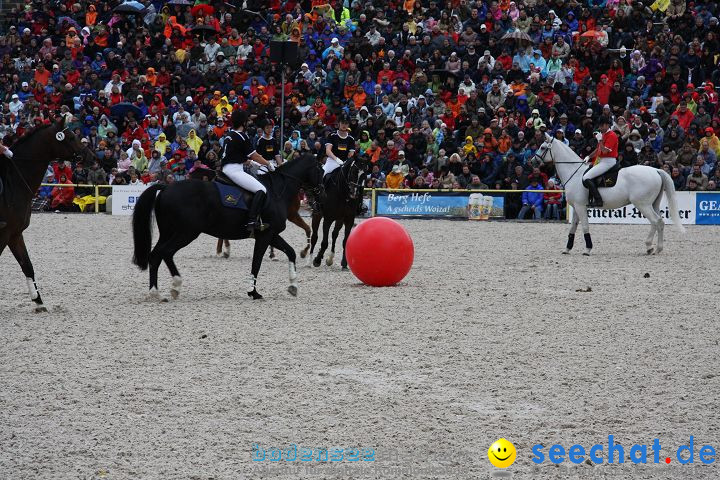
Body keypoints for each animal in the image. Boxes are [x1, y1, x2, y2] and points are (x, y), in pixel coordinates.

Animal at [0, 121, 95, 312]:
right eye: (71, 137)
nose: (91, 157)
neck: (13, 182)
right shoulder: (4, 233)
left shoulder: (14, 234)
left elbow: (27, 265)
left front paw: (38, 301)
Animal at [133, 154, 324, 298]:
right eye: (320, 171)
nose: (321, 195)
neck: (276, 191)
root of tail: (166, 187)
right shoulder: (265, 236)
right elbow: (256, 262)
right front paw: (253, 292)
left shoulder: (271, 234)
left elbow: (290, 252)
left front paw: (293, 286)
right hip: (186, 233)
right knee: (166, 252)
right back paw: (175, 285)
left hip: (169, 232)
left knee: (155, 256)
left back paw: (155, 292)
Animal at [536, 132, 688, 255]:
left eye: (543, 147)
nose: (533, 160)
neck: (575, 173)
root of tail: (656, 170)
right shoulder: (577, 207)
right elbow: (573, 228)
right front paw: (567, 249)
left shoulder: (580, 206)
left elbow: (585, 226)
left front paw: (588, 249)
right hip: (653, 204)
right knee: (660, 222)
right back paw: (658, 249)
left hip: (642, 204)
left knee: (655, 221)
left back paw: (649, 246)